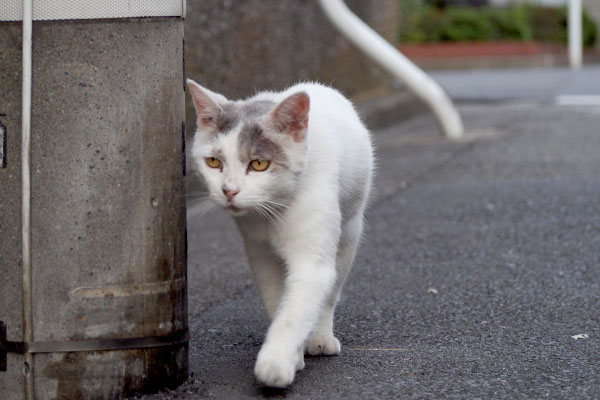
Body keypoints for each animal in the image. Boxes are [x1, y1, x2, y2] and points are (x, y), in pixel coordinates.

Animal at [189, 79, 376, 388]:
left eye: (259, 164)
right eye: (214, 162)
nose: (229, 191)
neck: (272, 212)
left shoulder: (313, 262)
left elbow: (295, 312)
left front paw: (274, 364)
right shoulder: (260, 254)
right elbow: (277, 302)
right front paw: (293, 356)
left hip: (348, 234)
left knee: (328, 295)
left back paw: (320, 338)